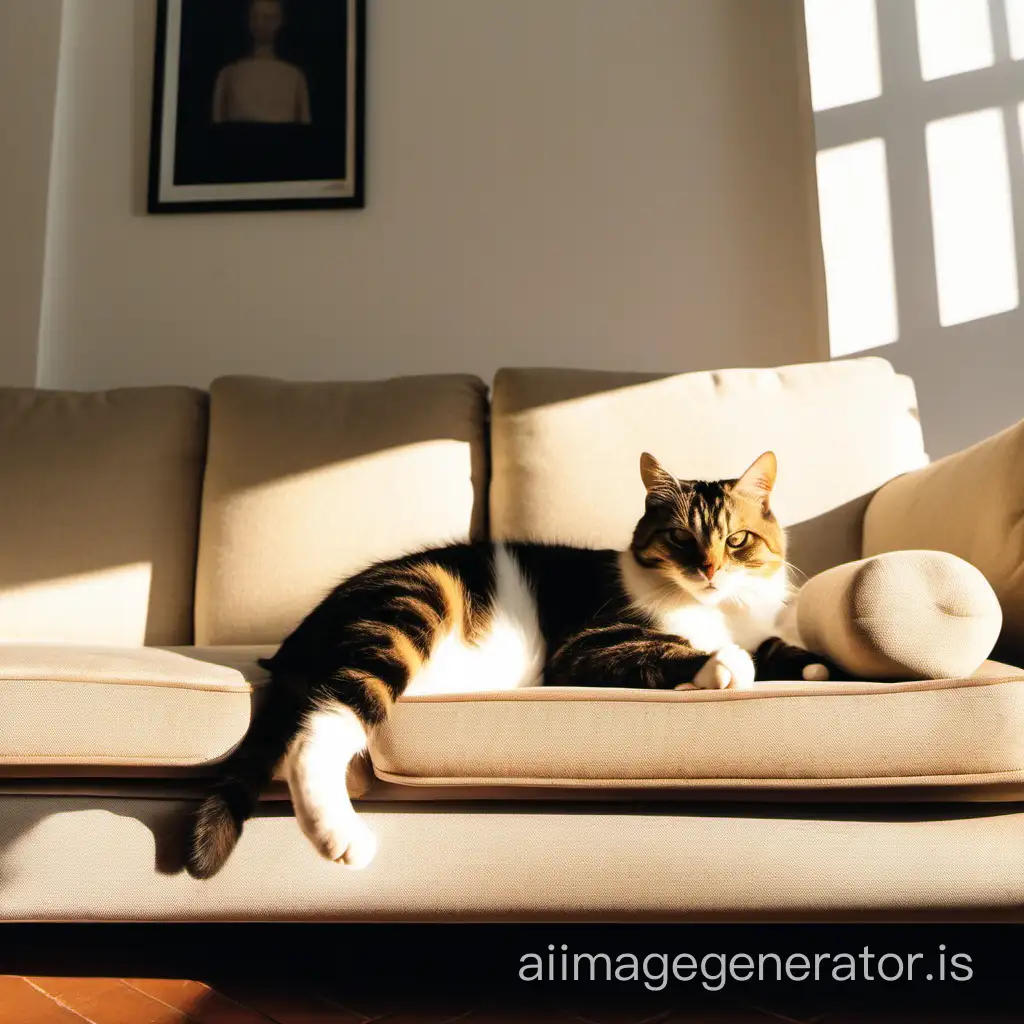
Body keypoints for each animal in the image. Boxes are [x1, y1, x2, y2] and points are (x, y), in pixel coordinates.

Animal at [188, 452, 835, 876]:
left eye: (737, 540)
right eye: (680, 539)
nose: (709, 569)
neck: (717, 610)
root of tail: (300, 634)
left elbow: (775, 646)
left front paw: (814, 665)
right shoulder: (584, 648)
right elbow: (668, 647)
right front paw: (723, 664)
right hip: (414, 605)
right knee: (320, 729)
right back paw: (339, 836)